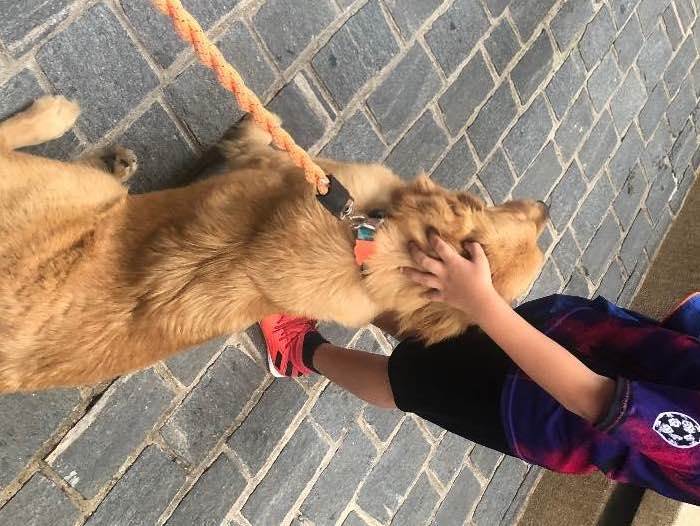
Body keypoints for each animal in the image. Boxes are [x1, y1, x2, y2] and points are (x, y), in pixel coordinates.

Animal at [0, 96, 548, 392]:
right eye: (516, 214)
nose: (546, 207)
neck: (376, 252)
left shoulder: (278, 165)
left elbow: (261, 137)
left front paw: (252, 122)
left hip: (84, 191)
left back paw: (74, 132)